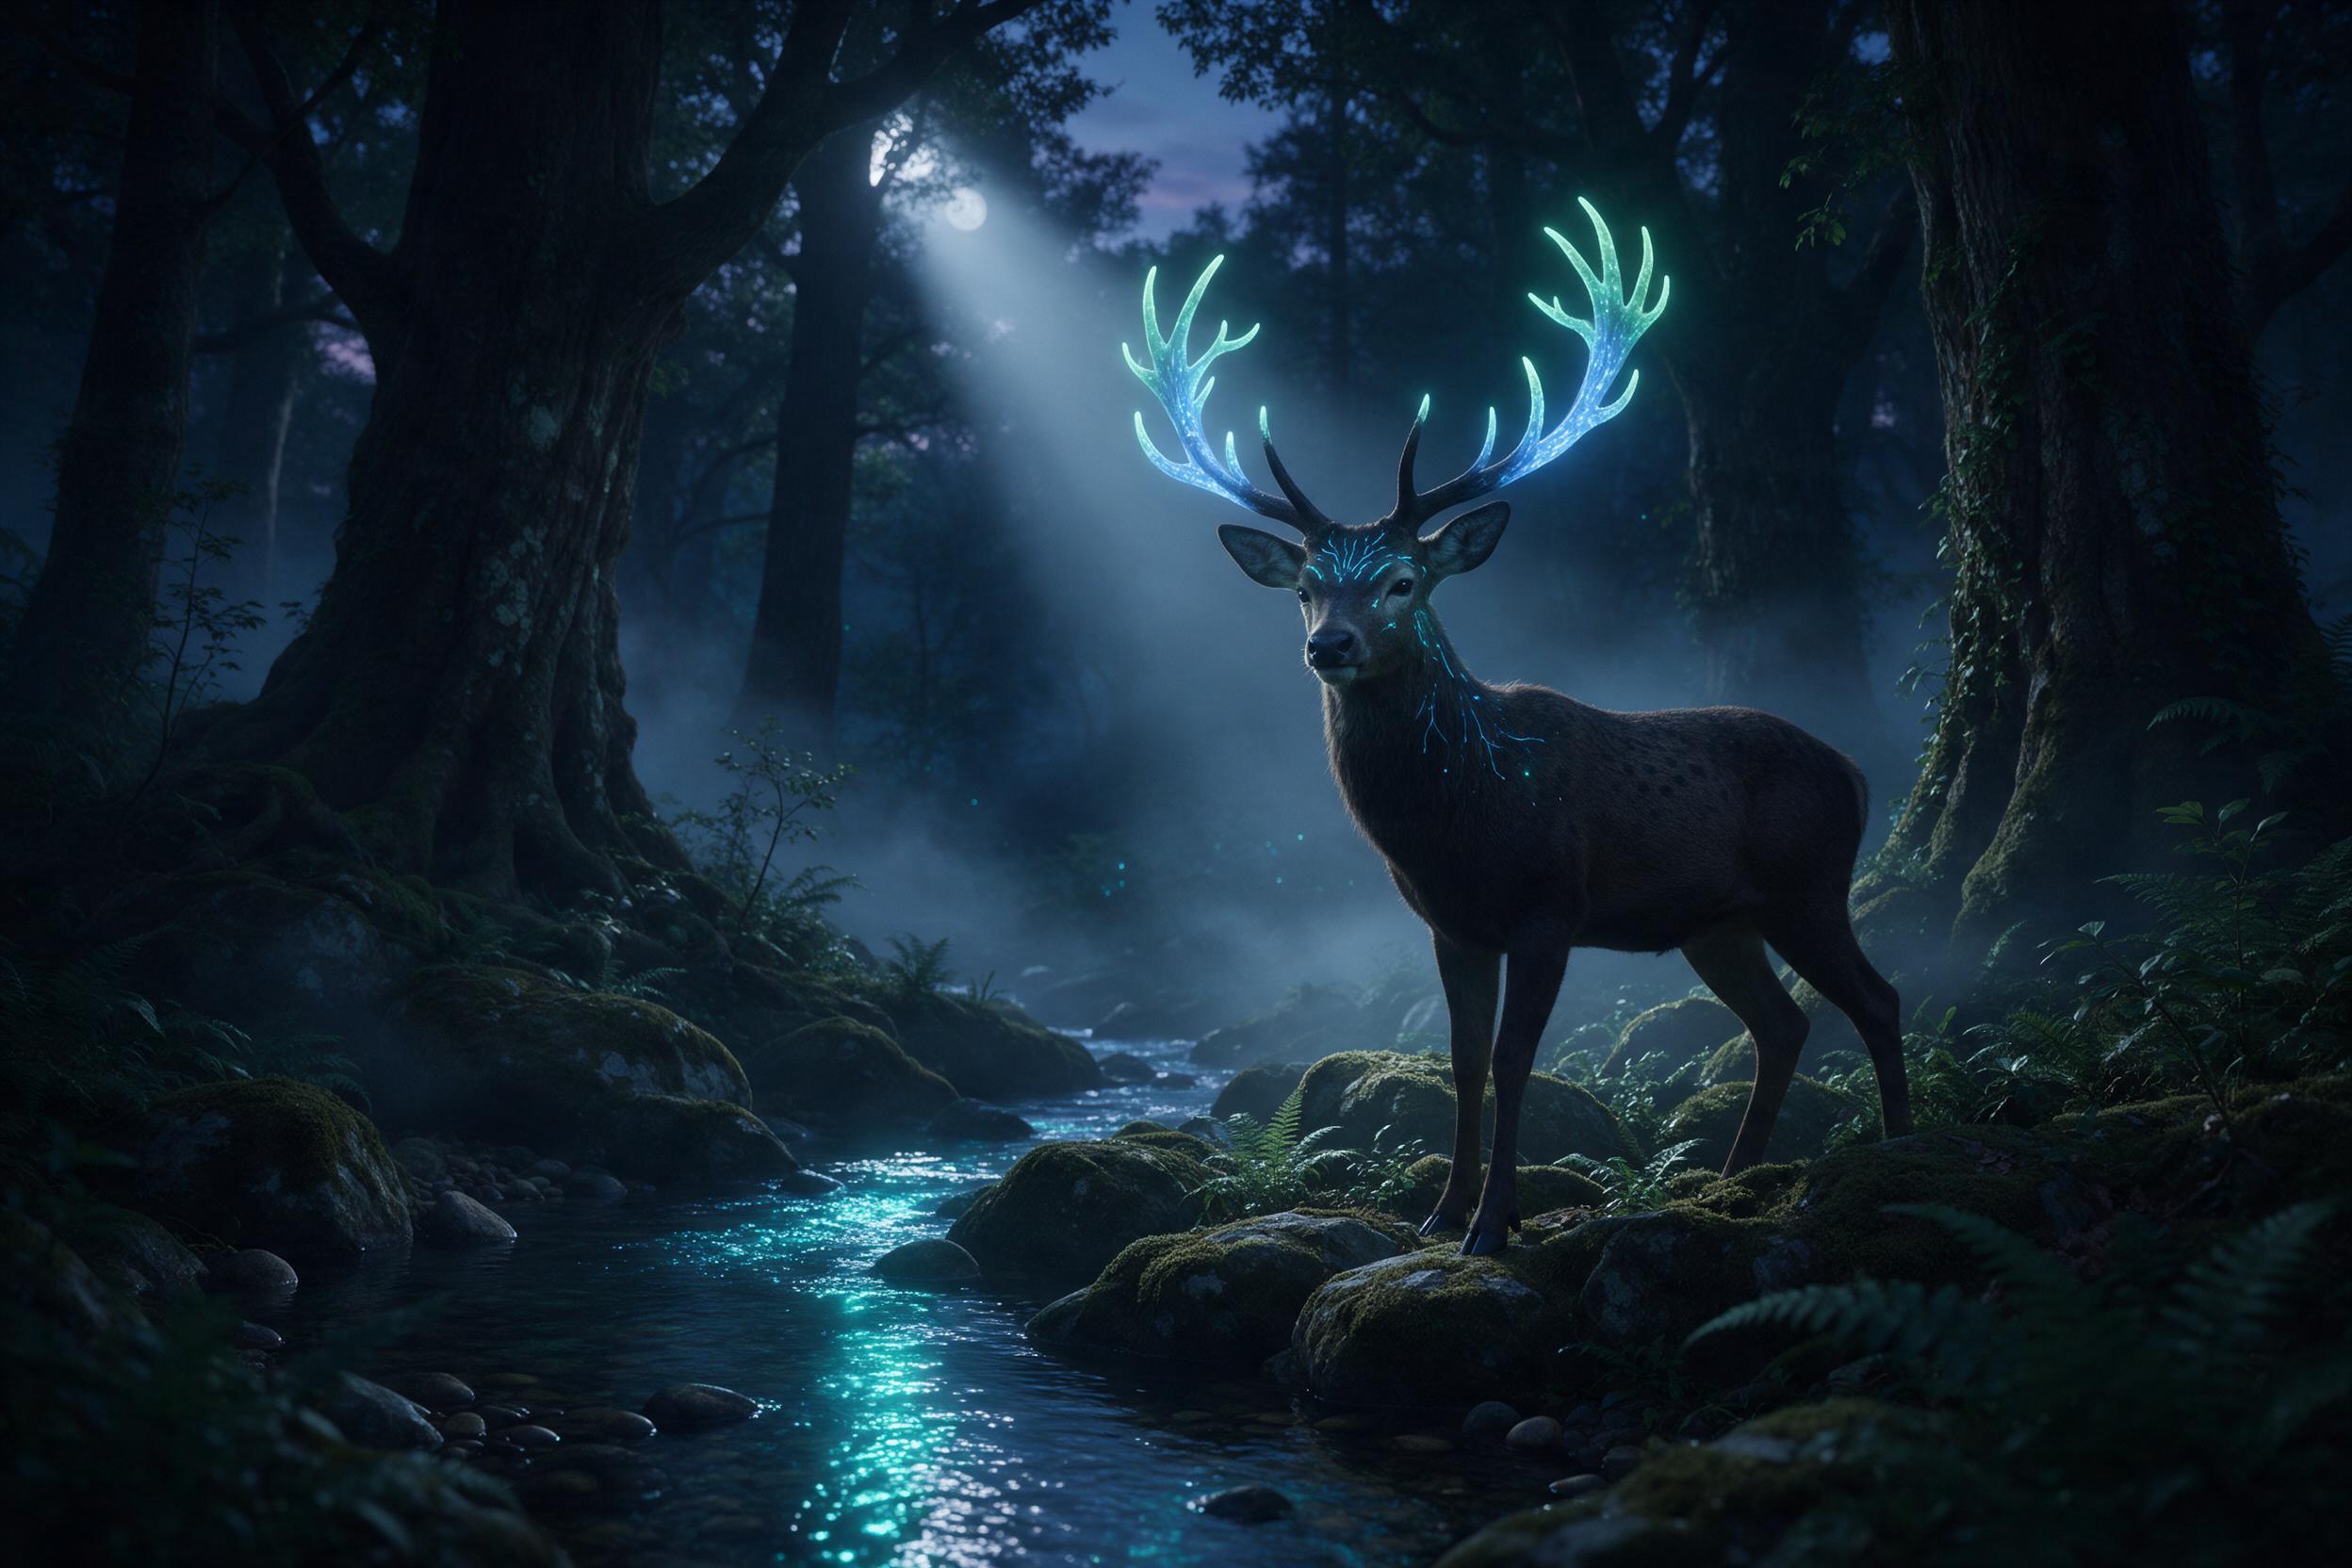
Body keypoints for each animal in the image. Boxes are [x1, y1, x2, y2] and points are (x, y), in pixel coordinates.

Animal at [1122, 201, 1911, 1255]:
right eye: (1304, 588)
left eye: (1402, 581)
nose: (1329, 645)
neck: (1460, 816)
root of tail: (1859, 773)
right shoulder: (1452, 924)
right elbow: (1455, 1058)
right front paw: (1442, 1211)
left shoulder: (1549, 907)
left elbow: (1513, 1059)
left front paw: (1492, 1226)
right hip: (1719, 921)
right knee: (1782, 1022)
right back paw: (1731, 1179)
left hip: (1808, 886)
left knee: (1877, 997)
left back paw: (1900, 1148)